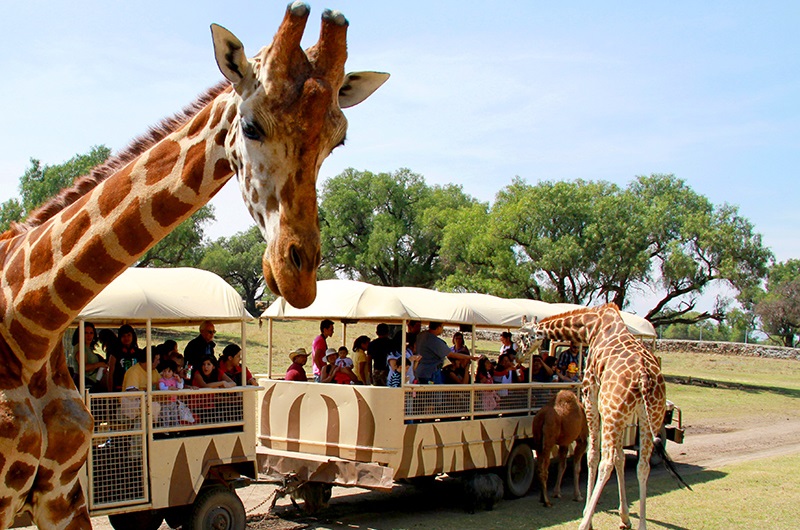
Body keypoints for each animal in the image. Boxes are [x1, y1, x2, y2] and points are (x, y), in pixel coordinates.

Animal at [524, 304, 668, 528]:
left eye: (523, 336)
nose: (519, 355)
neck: (591, 326)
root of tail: (644, 377)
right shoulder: (621, 415)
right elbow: (620, 458)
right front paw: (624, 516)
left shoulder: (590, 389)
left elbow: (592, 456)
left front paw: (587, 512)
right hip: (648, 414)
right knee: (642, 466)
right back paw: (641, 525)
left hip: (614, 412)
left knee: (605, 463)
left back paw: (584, 523)